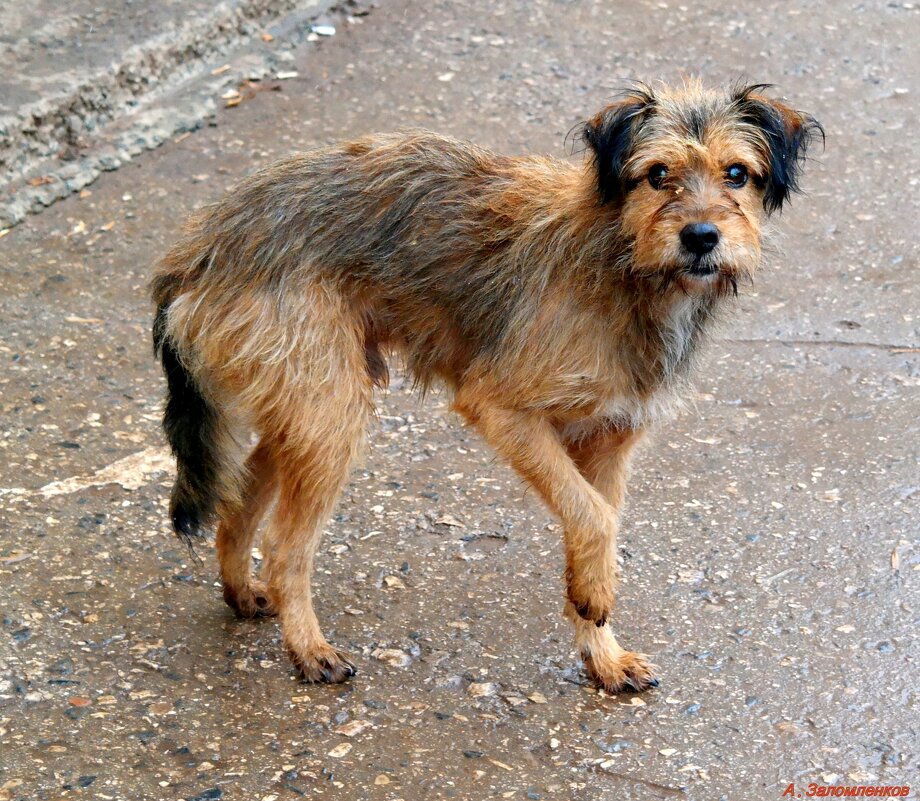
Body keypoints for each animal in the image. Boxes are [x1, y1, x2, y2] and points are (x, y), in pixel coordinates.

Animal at [151, 81, 820, 692]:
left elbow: (596, 518)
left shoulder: (609, 438)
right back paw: (310, 650)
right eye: (657, 175)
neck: (623, 261)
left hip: (306, 409)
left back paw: (243, 593)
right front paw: (597, 593)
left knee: (238, 506)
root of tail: (200, 244)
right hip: (331, 419)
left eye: (737, 174)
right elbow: (594, 517)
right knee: (287, 546)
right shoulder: (502, 409)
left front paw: (601, 648)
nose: (702, 237)